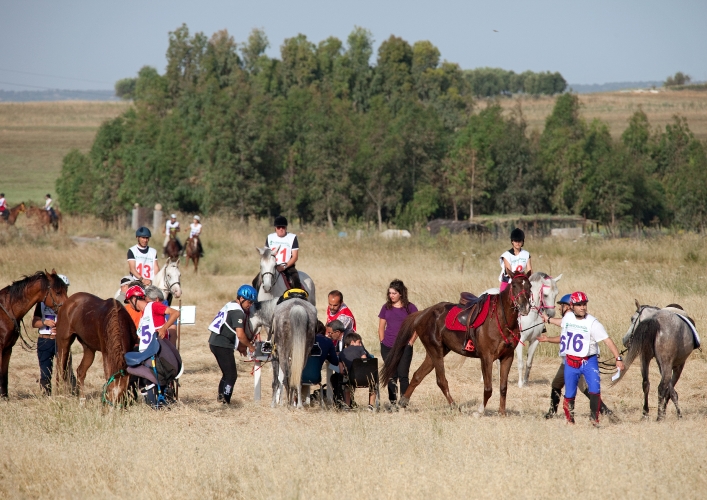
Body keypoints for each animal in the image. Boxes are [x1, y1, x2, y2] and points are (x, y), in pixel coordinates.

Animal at [382, 272, 532, 416]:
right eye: (514, 286)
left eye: (529, 286)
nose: (525, 307)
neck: (501, 320)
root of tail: (421, 313)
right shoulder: (486, 358)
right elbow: (488, 388)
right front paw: (479, 412)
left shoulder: (507, 357)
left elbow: (503, 387)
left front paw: (502, 413)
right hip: (435, 351)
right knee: (441, 381)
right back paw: (455, 407)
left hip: (435, 352)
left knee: (418, 376)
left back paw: (403, 403)